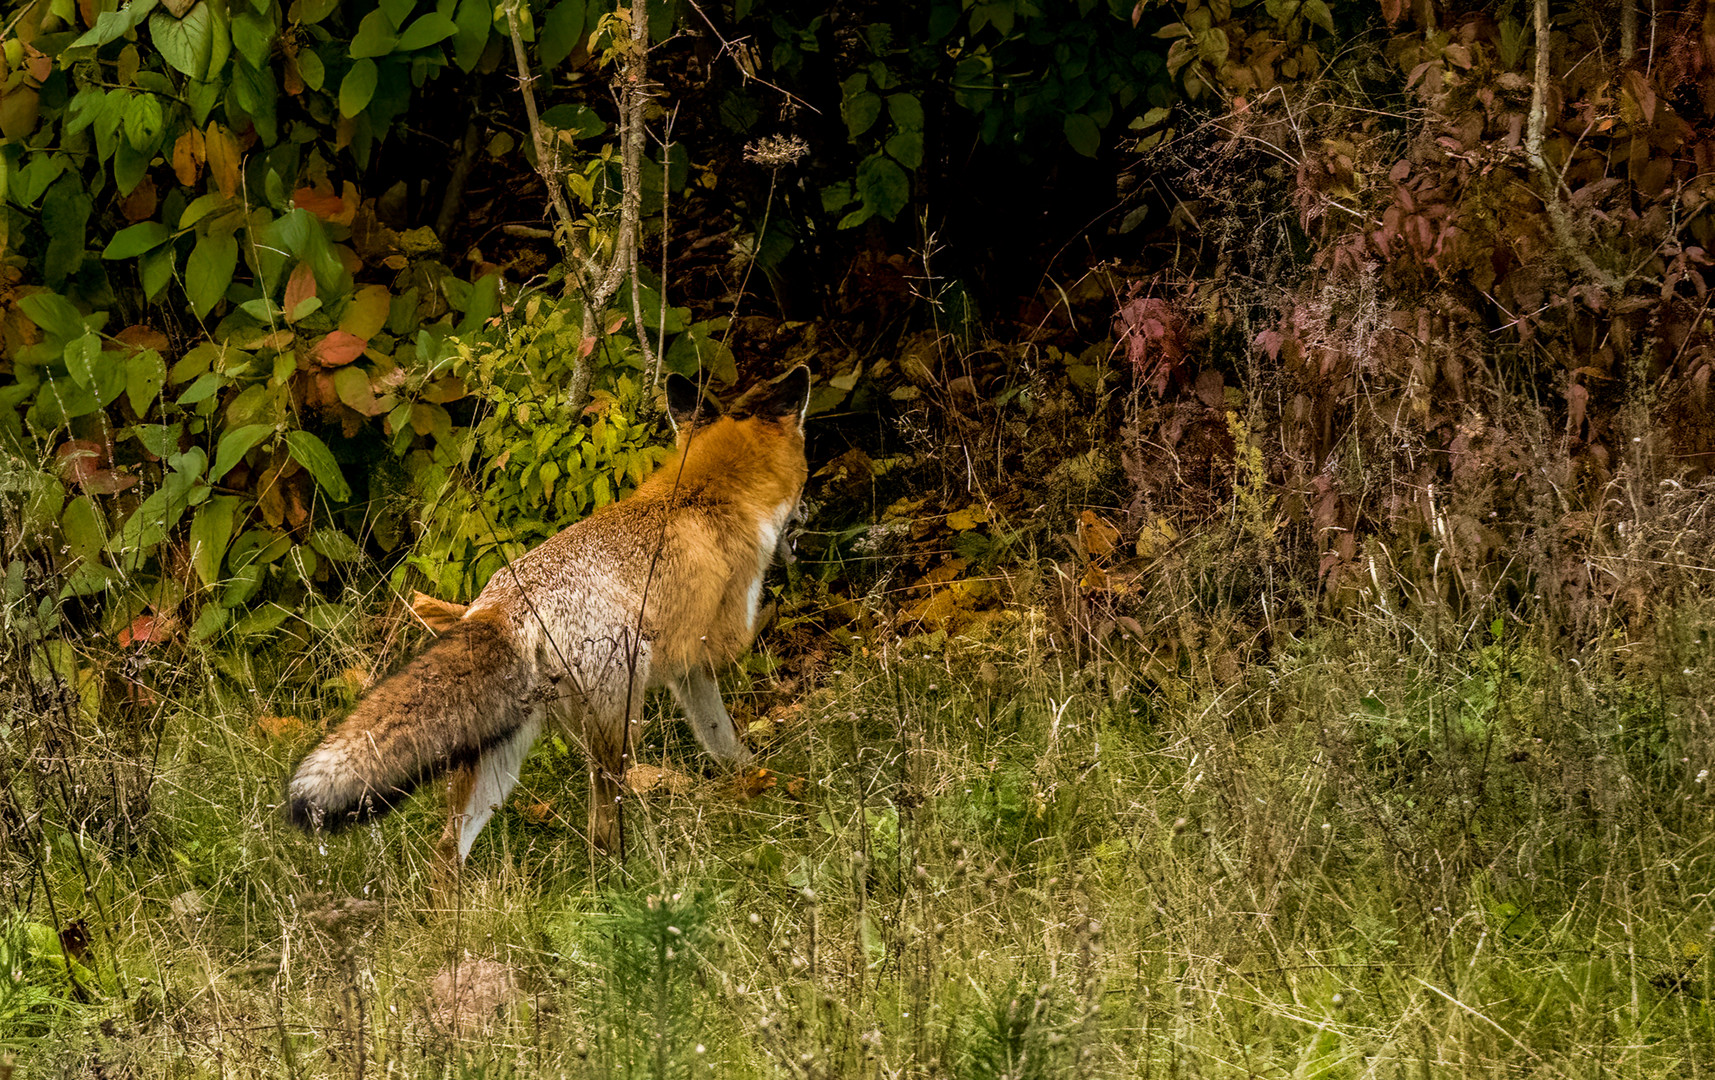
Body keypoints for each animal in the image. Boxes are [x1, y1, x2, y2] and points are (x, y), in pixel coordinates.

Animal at [286, 368, 809, 867]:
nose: (805, 514)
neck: (705, 491)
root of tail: (503, 603)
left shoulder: (685, 669)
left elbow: (720, 740)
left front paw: (752, 778)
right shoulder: (702, 653)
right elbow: (723, 733)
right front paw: (762, 784)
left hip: (499, 761)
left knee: (446, 848)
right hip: (617, 729)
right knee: (601, 830)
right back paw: (626, 883)